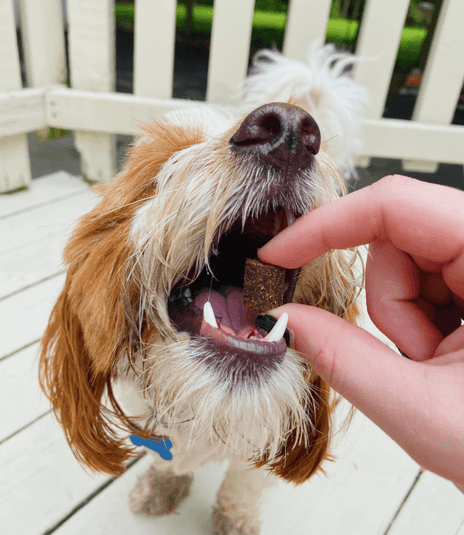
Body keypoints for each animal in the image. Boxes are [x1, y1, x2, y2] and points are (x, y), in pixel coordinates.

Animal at [39, 43, 370, 535]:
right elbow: (164, 457)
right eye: (159, 169)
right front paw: (161, 485)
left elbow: (242, 486)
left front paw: (234, 521)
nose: (289, 128)